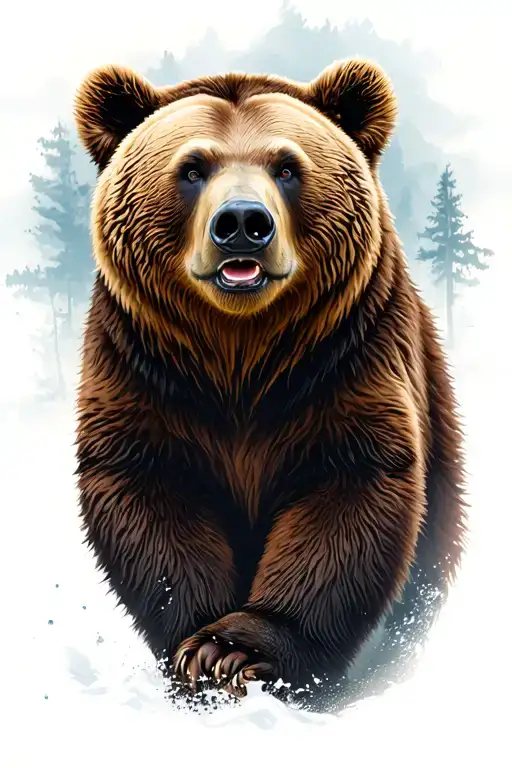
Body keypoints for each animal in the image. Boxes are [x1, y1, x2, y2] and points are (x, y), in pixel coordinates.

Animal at [73, 57, 467, 713]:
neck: (241, 355)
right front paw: (199, 651)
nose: (241, 224)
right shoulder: (145, 370)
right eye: (192, 167)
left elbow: (348, 497)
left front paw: (239, 651)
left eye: (286, 166)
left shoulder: (346, 360)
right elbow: (149, 495)